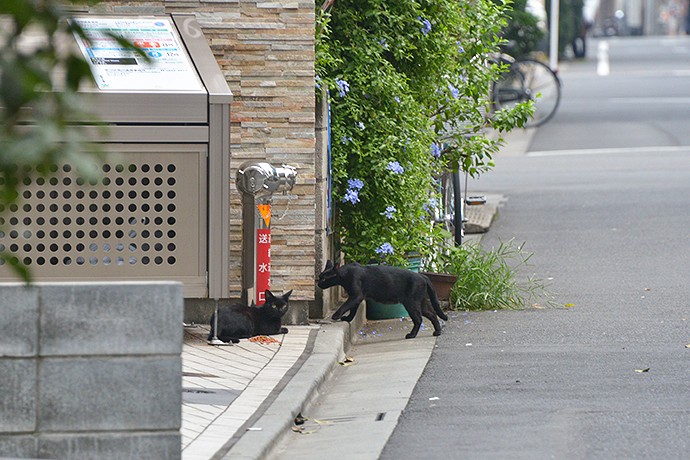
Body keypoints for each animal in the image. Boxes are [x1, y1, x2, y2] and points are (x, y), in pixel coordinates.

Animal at [316, 262, 446, 338]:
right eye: (319, 277)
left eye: (323, 279)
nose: (318, 283)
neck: (345, 274)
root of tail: (422, 276)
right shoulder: (356, 297)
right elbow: (352, 310)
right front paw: (348, 318)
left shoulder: (356, 296)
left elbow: (345, 306)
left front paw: (335, 315)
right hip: (420, 303)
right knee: (433, 315)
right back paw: (437, 332)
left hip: (411, 304)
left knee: (419, 319)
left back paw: (411, 335)